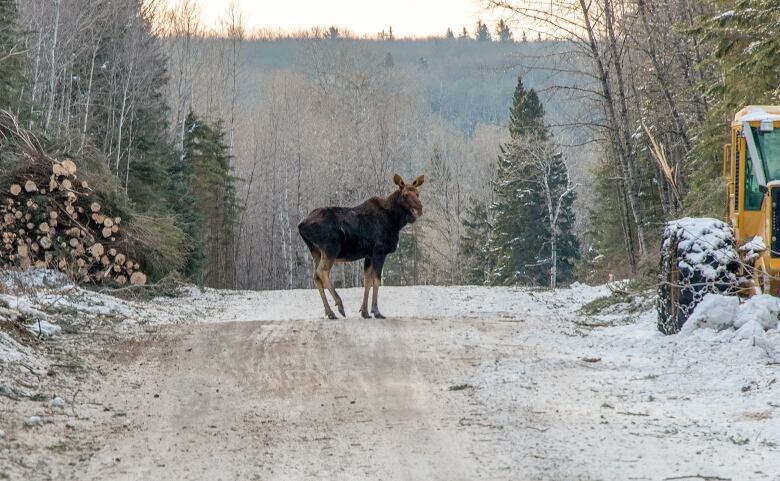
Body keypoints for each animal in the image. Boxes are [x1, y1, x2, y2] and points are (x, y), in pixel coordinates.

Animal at [298, 173, 424, 318]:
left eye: (418, 193)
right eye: (405, 195)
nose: (419, 210)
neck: (396, 222)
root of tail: (301, 225)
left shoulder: (369, 255)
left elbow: (367, 281)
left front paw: (365, 312)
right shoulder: (379, 251)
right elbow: (376, 281)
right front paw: (376, 311)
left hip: (315, 251)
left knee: (316, 277)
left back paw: (330, 313)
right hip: (330, 248)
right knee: (322, 272)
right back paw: (339, 305)